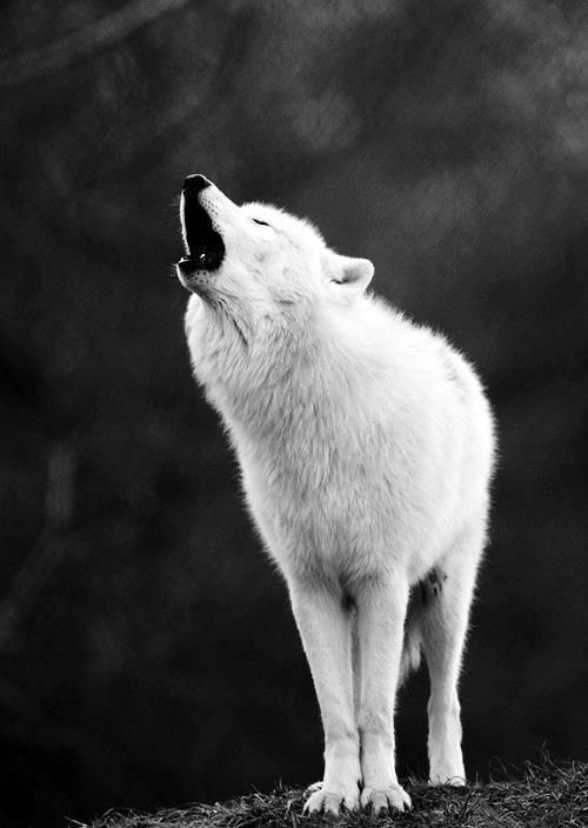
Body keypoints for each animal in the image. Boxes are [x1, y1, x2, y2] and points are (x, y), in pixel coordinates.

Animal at [175, 174, 495, 817]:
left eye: (262, 223)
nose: (194, 181)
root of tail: (451, 357)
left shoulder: (382, 580)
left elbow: (376, 710)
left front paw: (384, 793)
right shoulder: (311, 586)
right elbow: (338, 712)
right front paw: (338, 793)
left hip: (445, 595)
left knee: (442, 699)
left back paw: (448, 780)